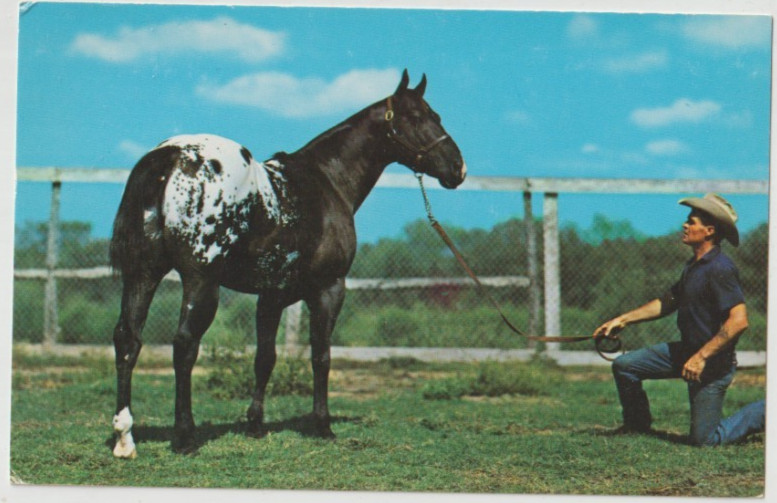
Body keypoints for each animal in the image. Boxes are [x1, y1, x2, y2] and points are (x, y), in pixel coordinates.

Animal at [109, 70, 466, 458]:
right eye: (418, 116)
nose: (458, 168)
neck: (328, 181)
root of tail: (169, 157)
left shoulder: (271, 296)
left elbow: (265, 358)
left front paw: (255, 425)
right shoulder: (328, 289)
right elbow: (320, 356)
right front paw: (322, 425)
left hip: (142, 275)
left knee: (128, 340)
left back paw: (124, 438)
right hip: (201, 282)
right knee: (184, 345)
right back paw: (185, 436)